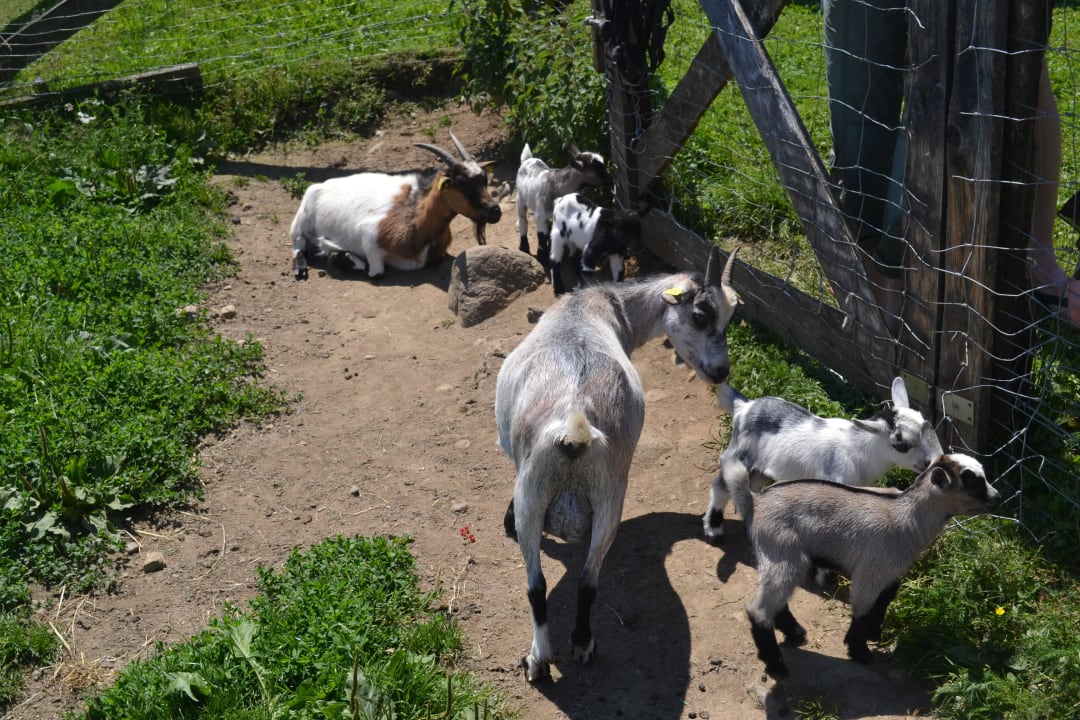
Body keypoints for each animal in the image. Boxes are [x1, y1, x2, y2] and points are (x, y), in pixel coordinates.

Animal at [290, 132, 502, 280]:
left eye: (484, 179)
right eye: (462, 185)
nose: (495, 211)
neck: (416, 220)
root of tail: (321, 185)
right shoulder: (370, 238)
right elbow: (375, 273)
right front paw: (335, 252)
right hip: (301, 221)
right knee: (298, 245)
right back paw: (301, 268)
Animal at [495, 247, 740, 683]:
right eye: (701, 315)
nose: (720, 372)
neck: (596, 303)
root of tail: (574, 427)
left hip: (536, 490)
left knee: (537, 585)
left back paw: (539, 658)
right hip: (609, 495)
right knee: (588, 580)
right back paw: (582, 643)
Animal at [703, 376, 943, 543]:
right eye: (901, 445)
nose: (928, 463)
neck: (858, 447)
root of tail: (744, 407)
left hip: (761, 467)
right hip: (739, 453)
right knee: (720, 485)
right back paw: (714, 529)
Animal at [735, 453, 1000, 677]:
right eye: (972, 484)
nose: (997, 498)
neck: (907, 517)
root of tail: (756, 500)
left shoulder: (891, 571)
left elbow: (885, 599)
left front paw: (875, 632)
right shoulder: (870, 569)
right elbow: (862, 609)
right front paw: (859, 651)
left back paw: (795, 634)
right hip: (782, 552)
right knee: (760, 609)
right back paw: (776, 665)